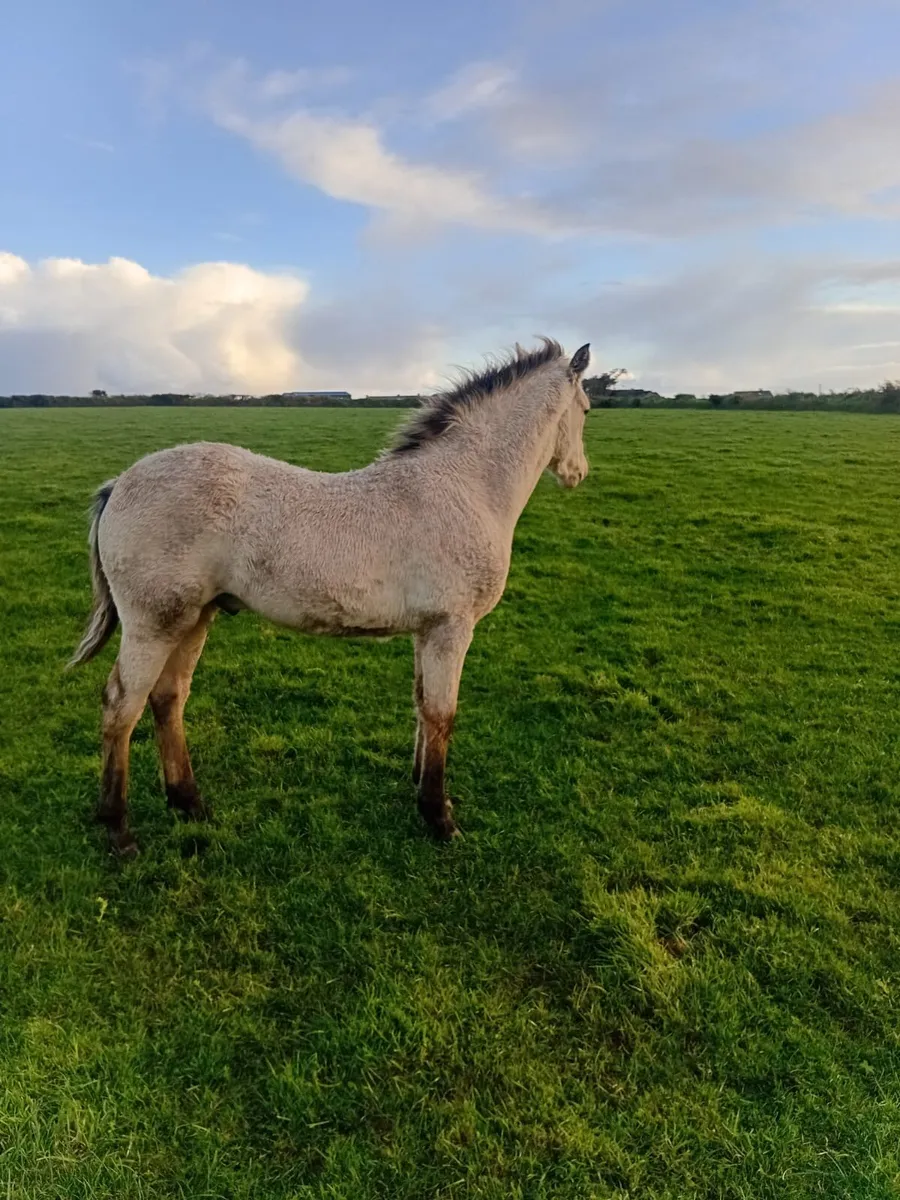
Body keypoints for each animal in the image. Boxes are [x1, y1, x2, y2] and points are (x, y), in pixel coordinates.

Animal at [69, 338, 592, 856]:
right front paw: (440, 818)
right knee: (122, 706)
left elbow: (422, 705)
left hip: (194, 617)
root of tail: (119, 484)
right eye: (586, 410)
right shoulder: (451, 628)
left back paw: (189, 802)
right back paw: (118, 830)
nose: (579, 474)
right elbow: (442, 714)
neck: (464, 488)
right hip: (153, 624)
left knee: (168, 698)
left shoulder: (427, 632)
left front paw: (420, 788)